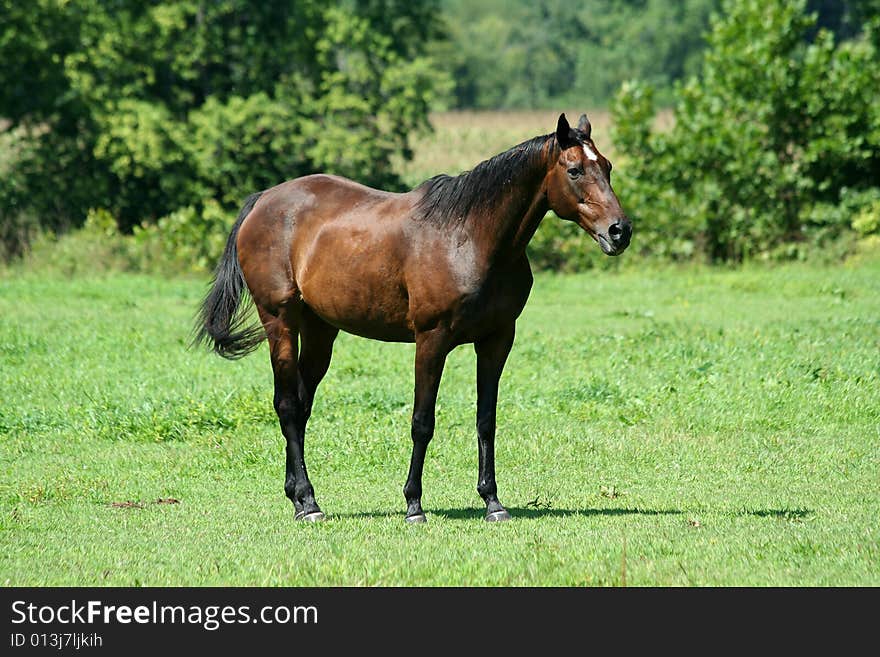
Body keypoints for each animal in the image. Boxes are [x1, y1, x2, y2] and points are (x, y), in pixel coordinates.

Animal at [195, 113, 628, 524]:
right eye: (575, 170)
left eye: (606, 166)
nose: (619, 231)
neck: (470, 238)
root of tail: (263, 200)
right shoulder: (431, 340)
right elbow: (422, 421)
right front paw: (414, 505)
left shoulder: (497, 339)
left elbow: (485, 419)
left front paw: (492, 502)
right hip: (280, 322)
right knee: (286, 405)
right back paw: (308, 502)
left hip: (320, 331)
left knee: (301, 406)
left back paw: (299, 498)